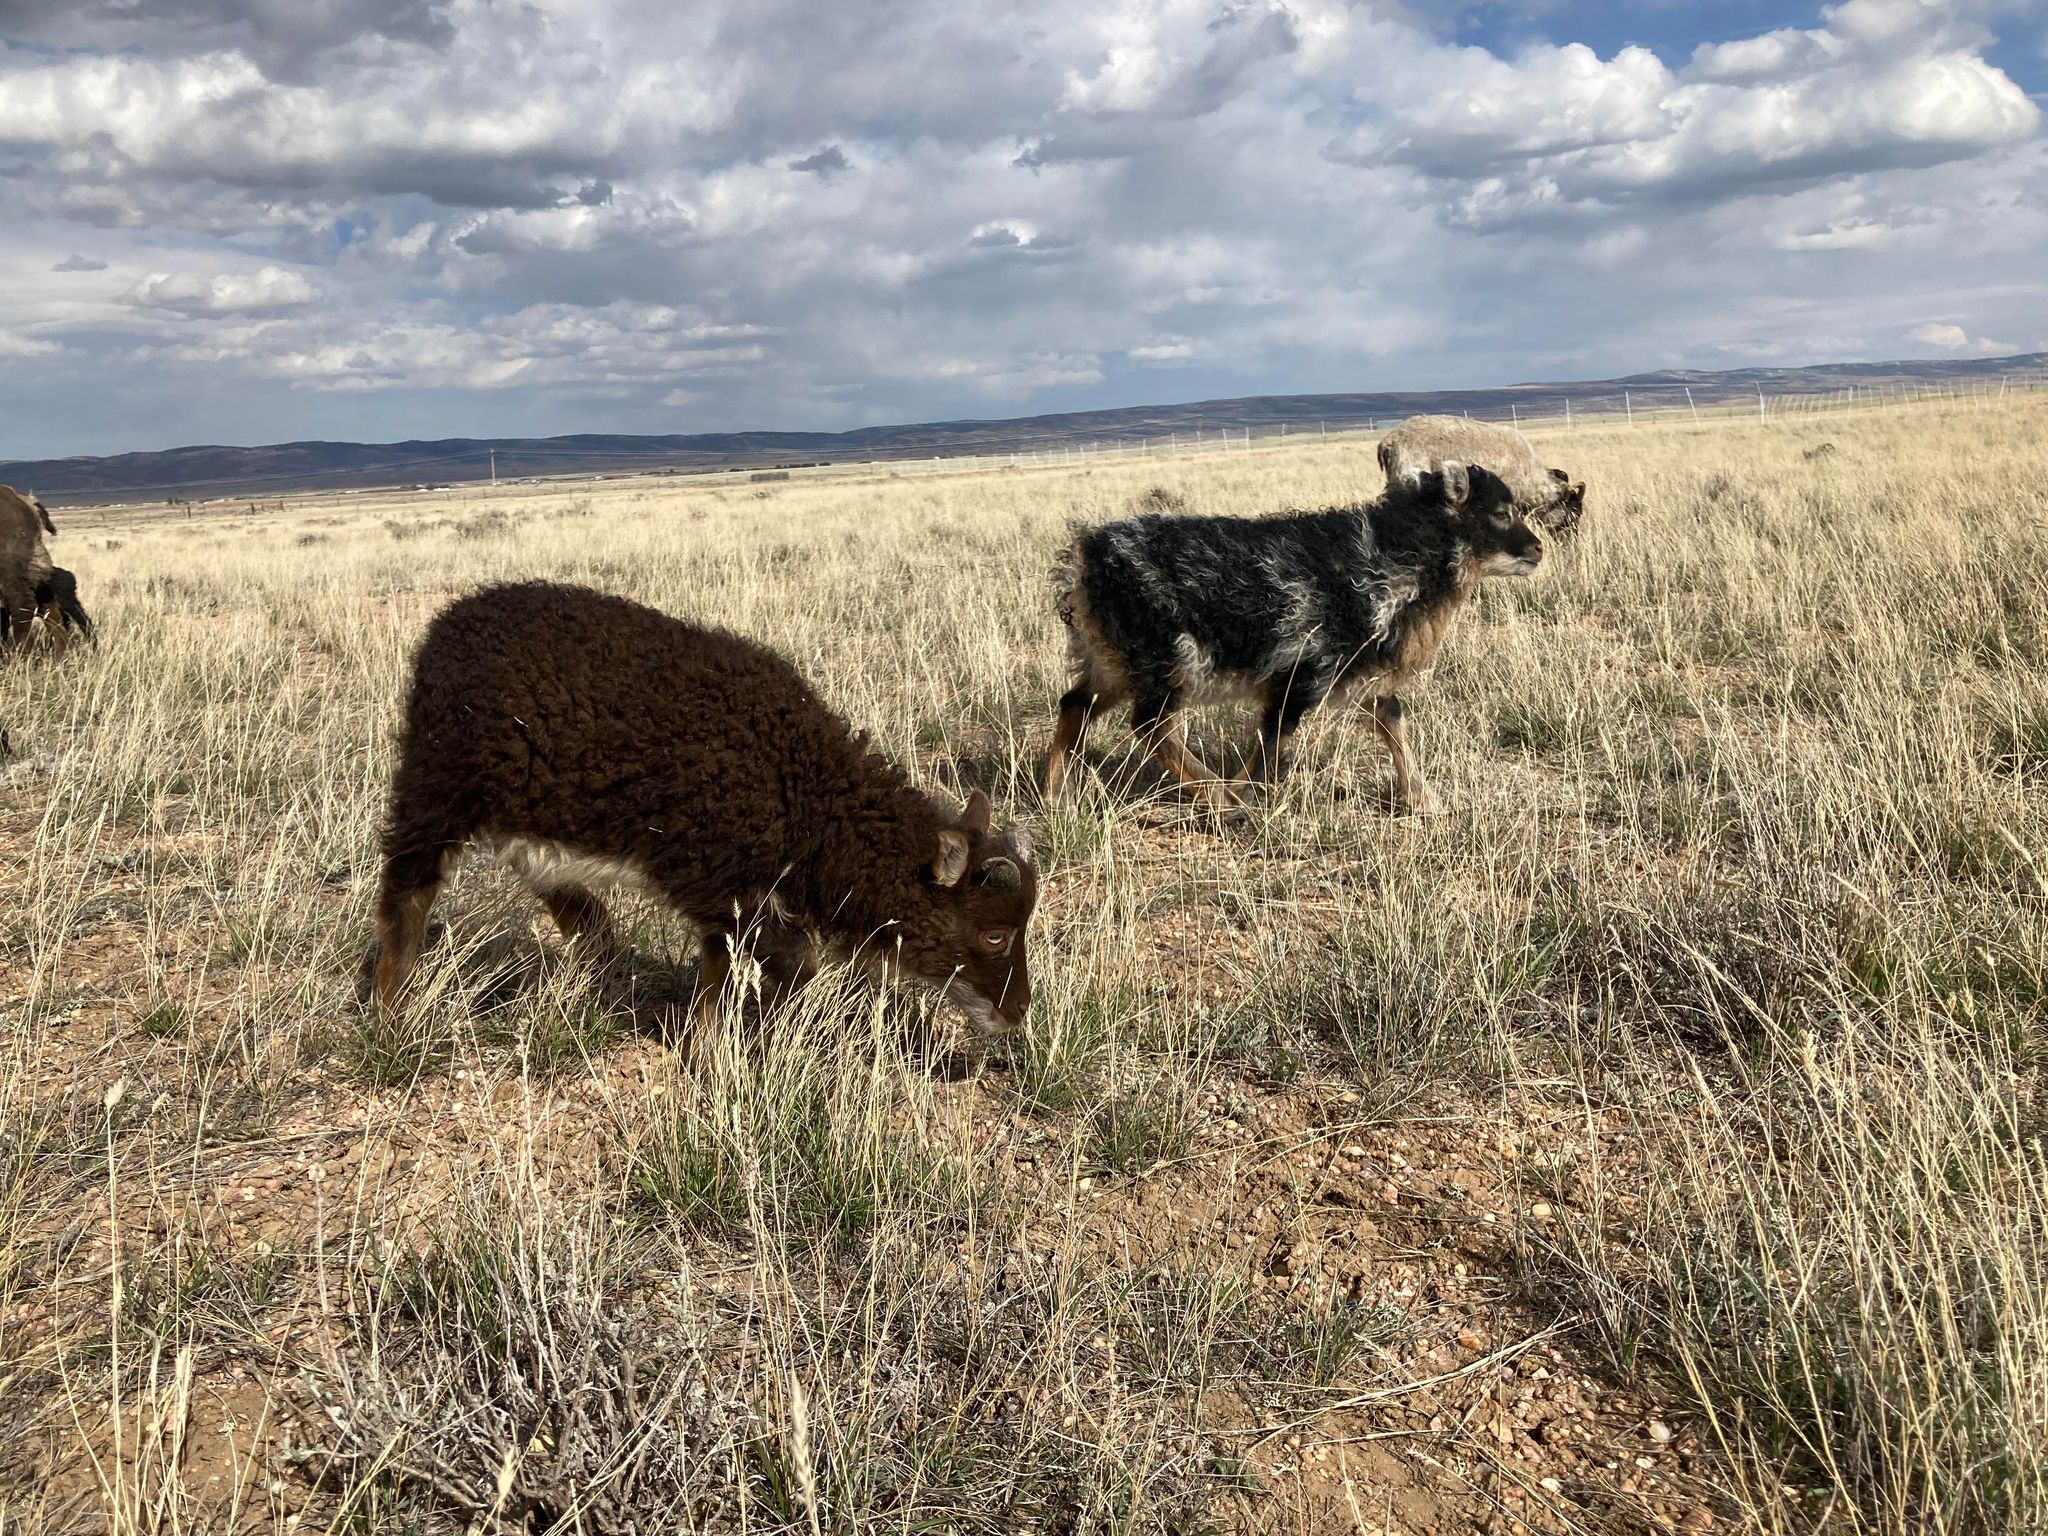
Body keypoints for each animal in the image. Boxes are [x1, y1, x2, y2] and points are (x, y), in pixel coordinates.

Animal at [372, 581, 1040, 1040]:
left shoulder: (739, 895)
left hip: (524, 819)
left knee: (568, 901)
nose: (1016, 1014)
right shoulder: (716, 880)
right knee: (406, 891)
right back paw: (389, 1011)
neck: (803, 786)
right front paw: (716, 1051)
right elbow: (774, 965)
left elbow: (752, 968)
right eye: (995, 932)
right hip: (436, 790)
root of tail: (446, 625)